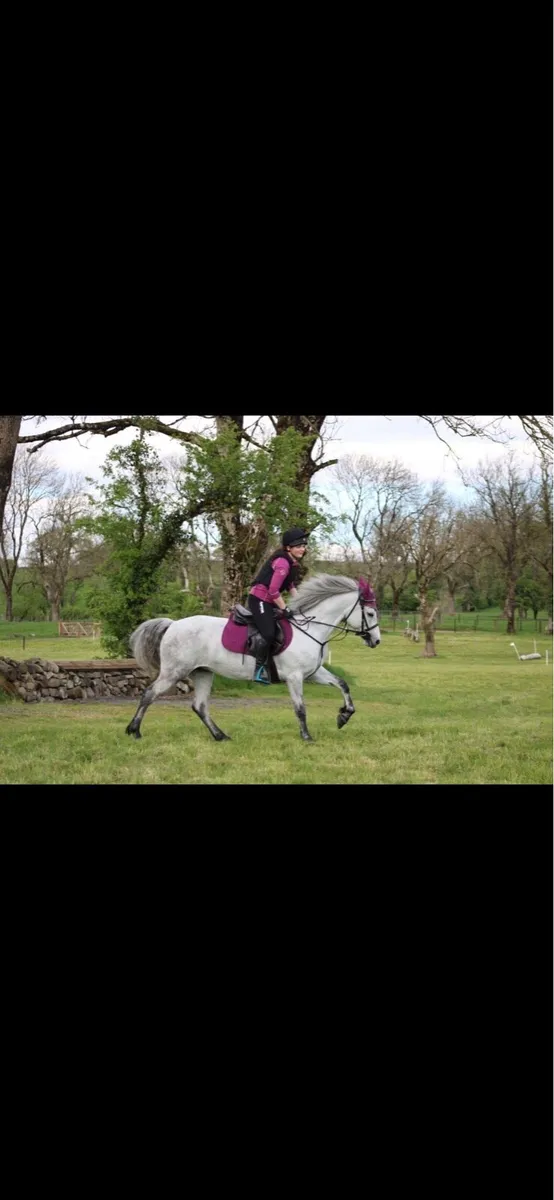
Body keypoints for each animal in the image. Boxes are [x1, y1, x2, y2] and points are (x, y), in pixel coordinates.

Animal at [125, 574, 381, 743]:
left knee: (199, 706)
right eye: (370, 613)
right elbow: (300, 708)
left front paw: (344, 716)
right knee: (149, 694)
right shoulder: (295, 676)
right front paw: (307, 736)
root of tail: (173, 624)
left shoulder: (313, 673)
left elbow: (342, 684)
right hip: (174, 672)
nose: (376, 641)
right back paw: (134, 731)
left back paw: (220, 735)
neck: (310, 629)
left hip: (203, 672)